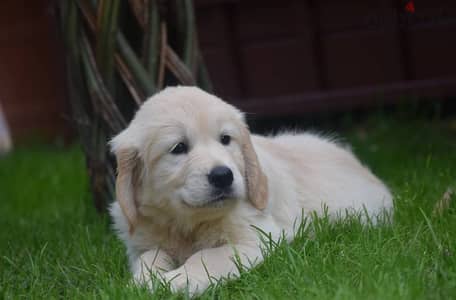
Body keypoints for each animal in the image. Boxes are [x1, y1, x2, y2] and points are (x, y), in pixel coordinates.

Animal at [109, 85, 392, 294]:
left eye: (225, 139)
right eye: (178, 147)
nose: (223, 176)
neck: (186, 225)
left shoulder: (259, 236)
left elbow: (209, 256)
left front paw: (177, 281)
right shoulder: (141, 242)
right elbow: (150, 256)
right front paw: (143, 281)